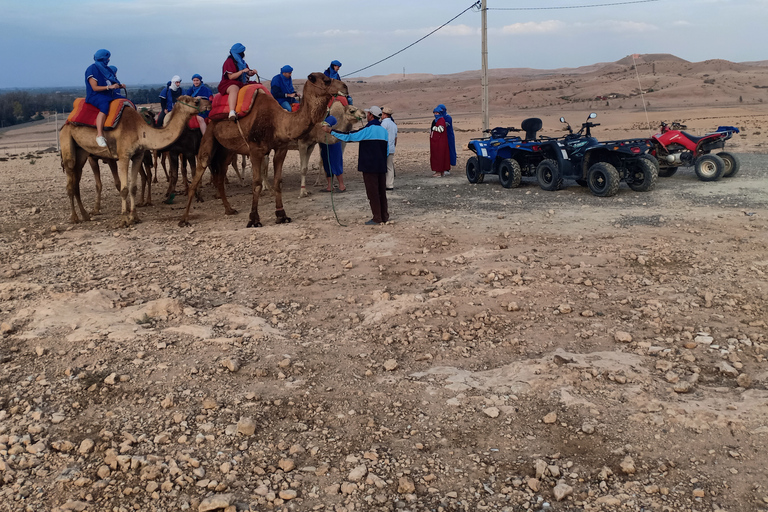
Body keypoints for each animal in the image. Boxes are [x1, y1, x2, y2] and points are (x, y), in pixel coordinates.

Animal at [60, 96, 210, 224]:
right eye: (196, 101)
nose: (208, 102)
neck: (140, 131)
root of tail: (66, 122)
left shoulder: (138, 155)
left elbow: (133, 187)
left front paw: (135, 217)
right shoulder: (123, 156)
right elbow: (124, 188)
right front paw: (124, 220)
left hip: (82, 152)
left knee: (76, 181)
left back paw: (85, 215)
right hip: (67, 141)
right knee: (70, 180)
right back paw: (74, 218)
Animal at [178, 71, 346, 227]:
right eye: (326, 80)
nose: (344, 86)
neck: (278, 122)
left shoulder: (281, 149)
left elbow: (278, 182)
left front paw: (282, 215)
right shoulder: (255, 151)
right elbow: (257, 183)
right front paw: (253, 219)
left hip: (226, 150)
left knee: (220, 179)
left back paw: (229, 210)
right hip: (209, 135)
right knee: (199, 172)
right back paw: (184, 219)